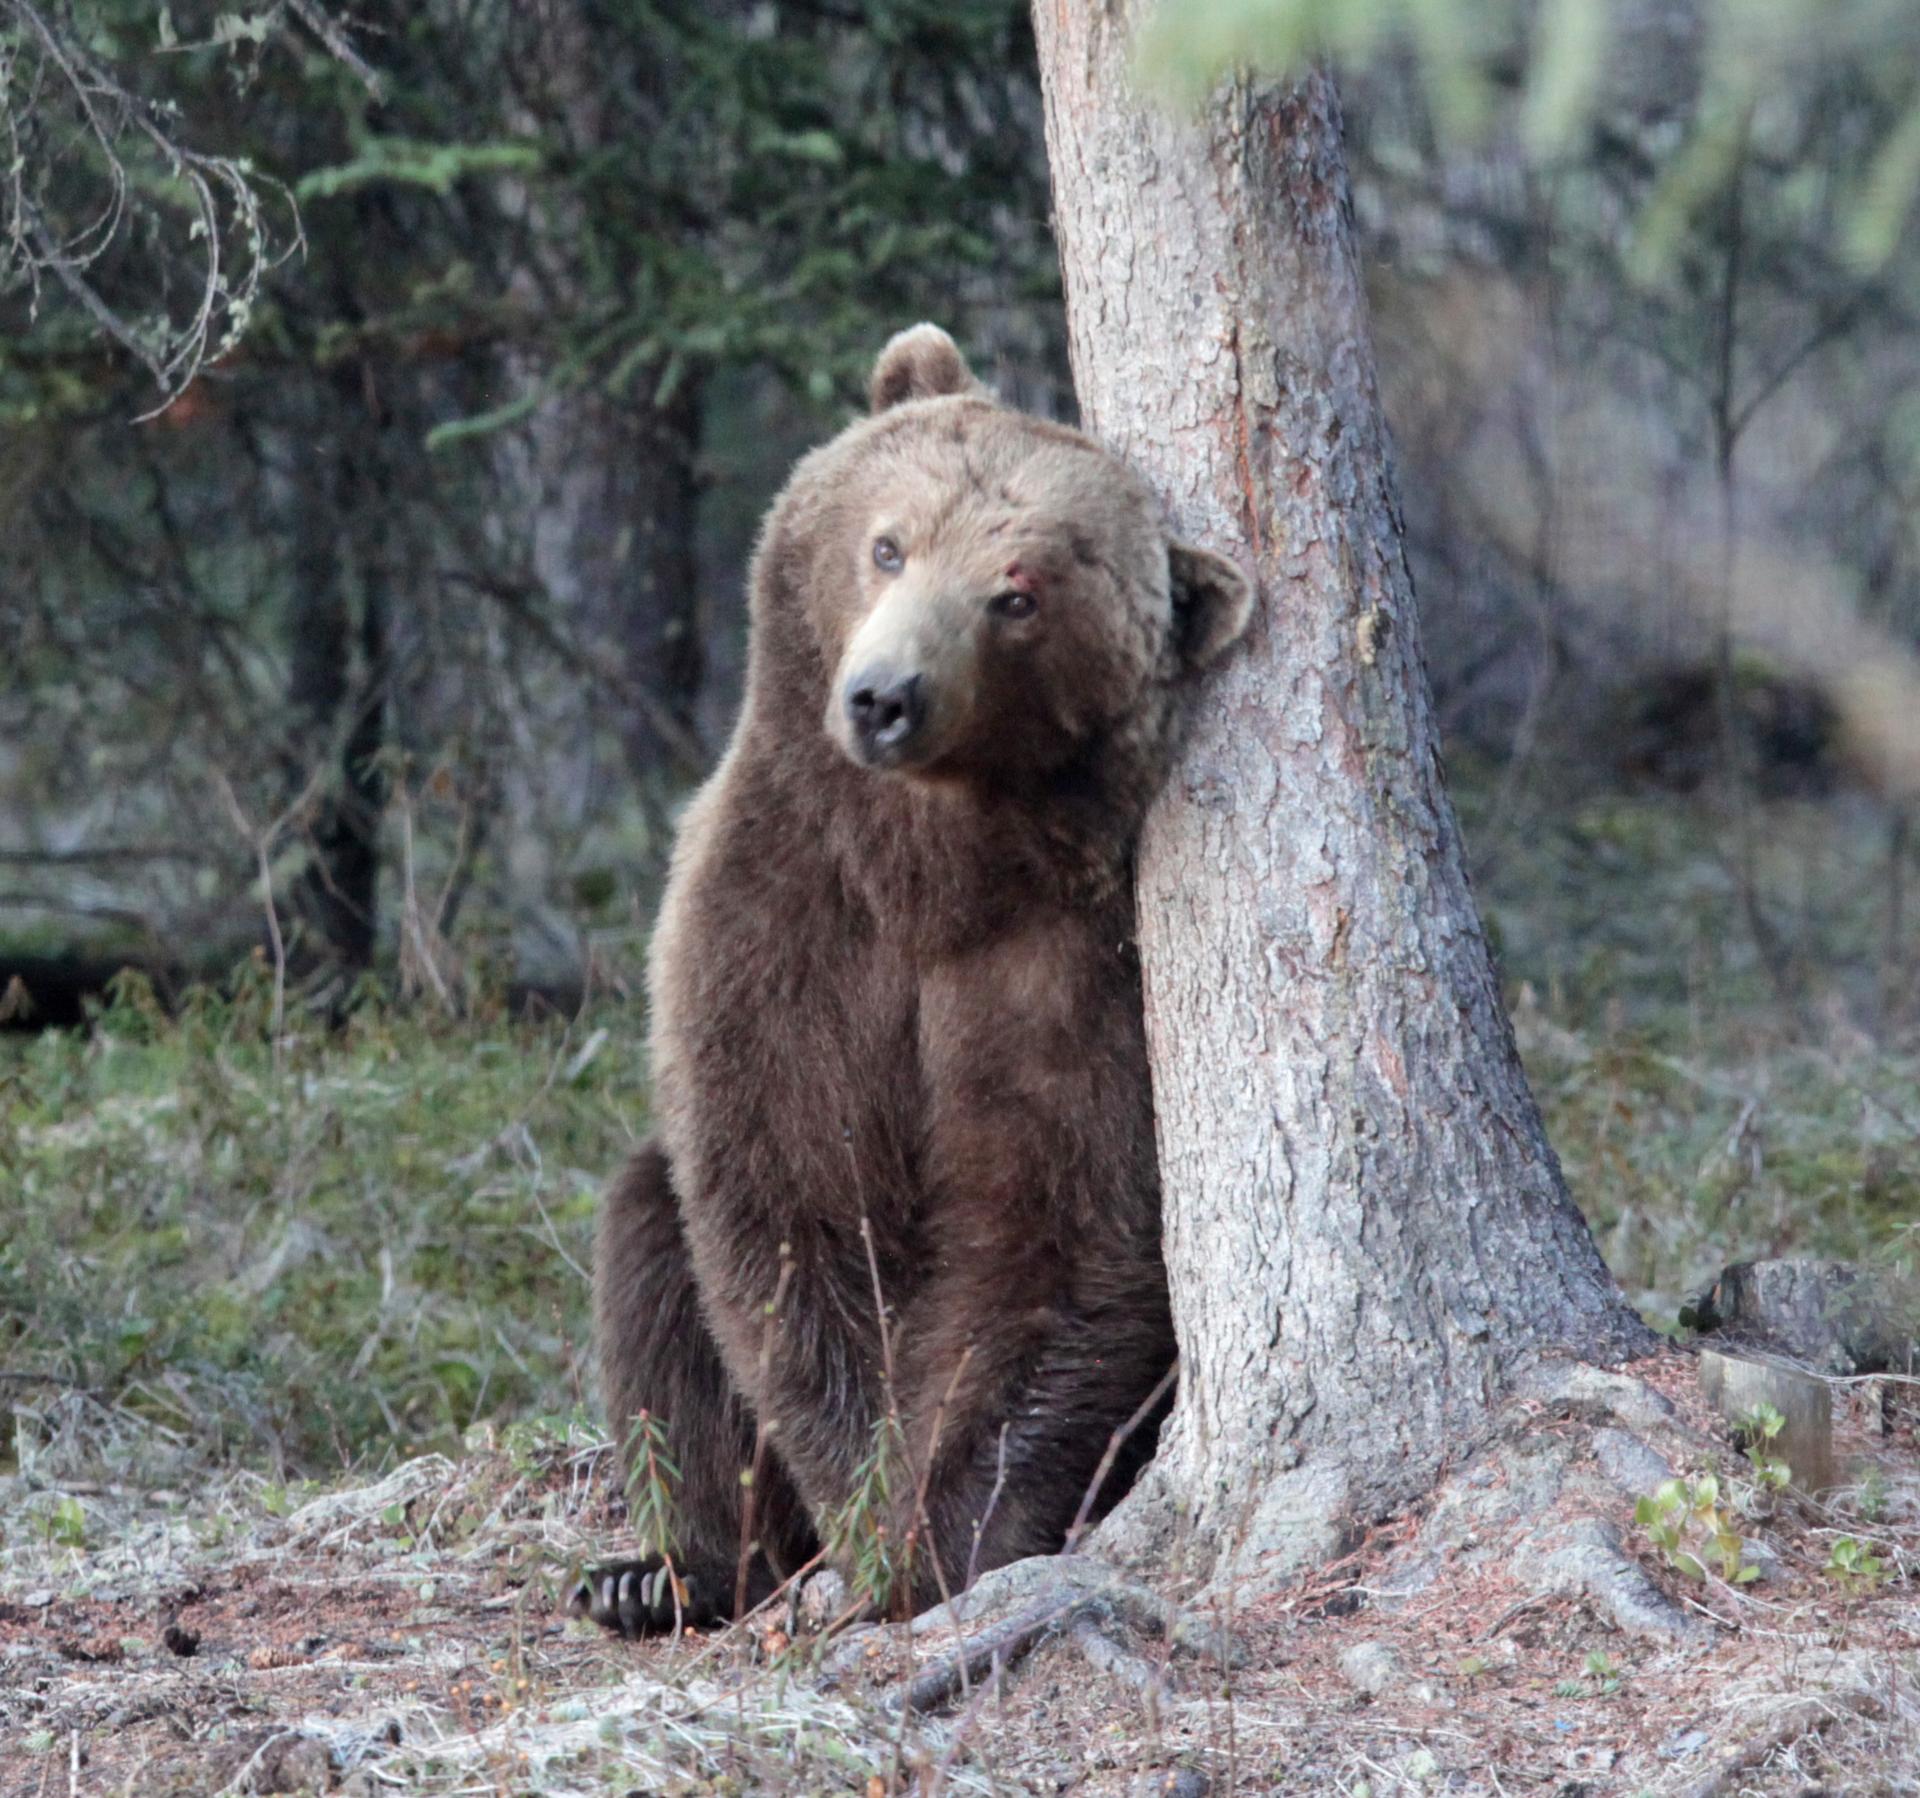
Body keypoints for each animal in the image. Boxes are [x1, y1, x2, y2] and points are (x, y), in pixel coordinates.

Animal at [576, 324, 1251, 1635]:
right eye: (889, 541)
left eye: (1017, 595)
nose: (885, 695)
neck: (927, 870)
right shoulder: (787, 922)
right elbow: (792, 1208)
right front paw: (869, 1512)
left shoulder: (1067, 969)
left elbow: (1059, 1231)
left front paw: (944, 1529)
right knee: (647, 1240)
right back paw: (660, 1571)